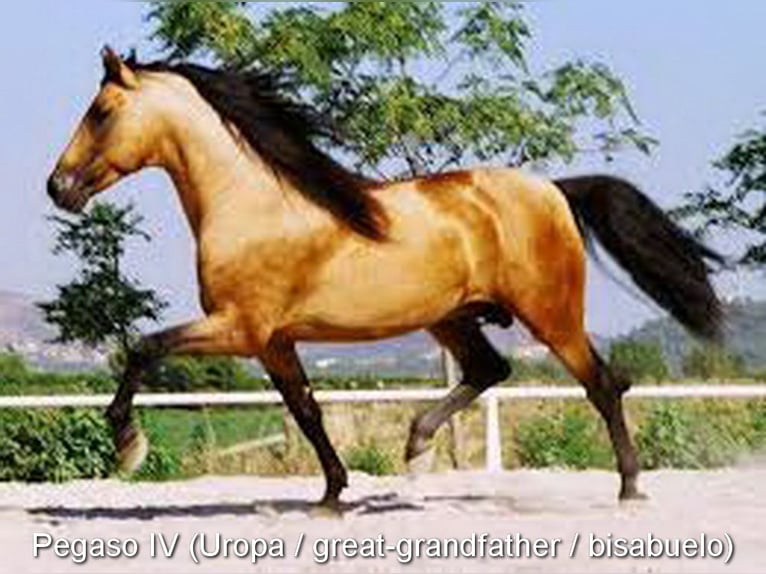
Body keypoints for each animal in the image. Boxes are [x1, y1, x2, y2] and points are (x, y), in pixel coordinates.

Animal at [47, 47, 723, 510]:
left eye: (101, 112)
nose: (58, 187)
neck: (252, 204)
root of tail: (554, 190)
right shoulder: (275, 342)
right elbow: (306, 410)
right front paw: (331, 495)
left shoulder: (240, 328)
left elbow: (143, 347)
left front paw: (127, 444)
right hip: (451, 318)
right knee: (491, 369)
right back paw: (416, 448)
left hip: (550, 314)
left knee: (603, 384)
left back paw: (630, 487)